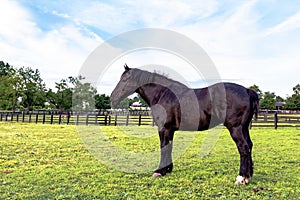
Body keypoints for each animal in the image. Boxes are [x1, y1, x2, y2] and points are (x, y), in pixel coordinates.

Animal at [110, 64, 258, 184]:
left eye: (124, 79)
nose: (112, 97)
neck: (163, 94)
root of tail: (247, 91)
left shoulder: (164, 128)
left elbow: (164, 147)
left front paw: (159, 171)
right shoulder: (170, 130)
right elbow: (169, 147)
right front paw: (167, 169)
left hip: (236, 128)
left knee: (243, 148)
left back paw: (241, 178)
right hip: (244, 128)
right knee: (249, 146)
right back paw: (249, 176)